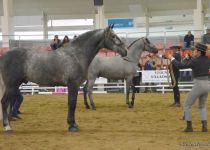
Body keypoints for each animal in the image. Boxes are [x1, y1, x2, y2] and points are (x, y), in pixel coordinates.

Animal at [0, 25, 128, 132]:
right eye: (113, 36)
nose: (125, 51)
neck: (76, 55)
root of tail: (4, 55)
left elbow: (71, 103)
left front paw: (72, 124)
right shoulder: (73, 84)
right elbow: (72, 104)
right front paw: (72, 125)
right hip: (11, 85)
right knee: (5, 102)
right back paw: (7, 127)